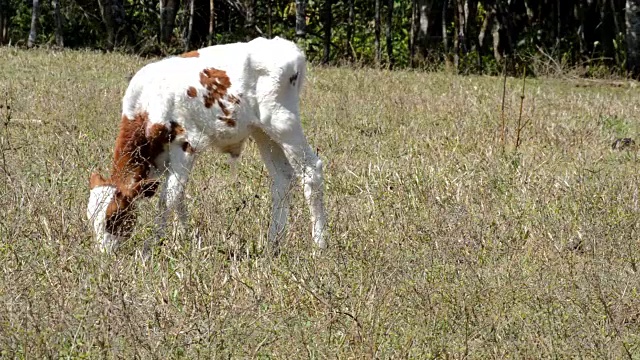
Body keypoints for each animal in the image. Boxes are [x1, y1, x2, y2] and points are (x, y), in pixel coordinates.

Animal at [86, 36, 324, 255]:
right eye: (90, 217)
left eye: (114, 216)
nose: (104, 254)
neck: (147, 106)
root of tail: (287, 46)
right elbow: (178, 197)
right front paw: (183, 239)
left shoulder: (185, 146)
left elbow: (168, 199)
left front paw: (151, 247)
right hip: (263, 132)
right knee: (282, 179)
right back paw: (272, 243)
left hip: (284, 124)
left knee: (311, 172)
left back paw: (319, 245)